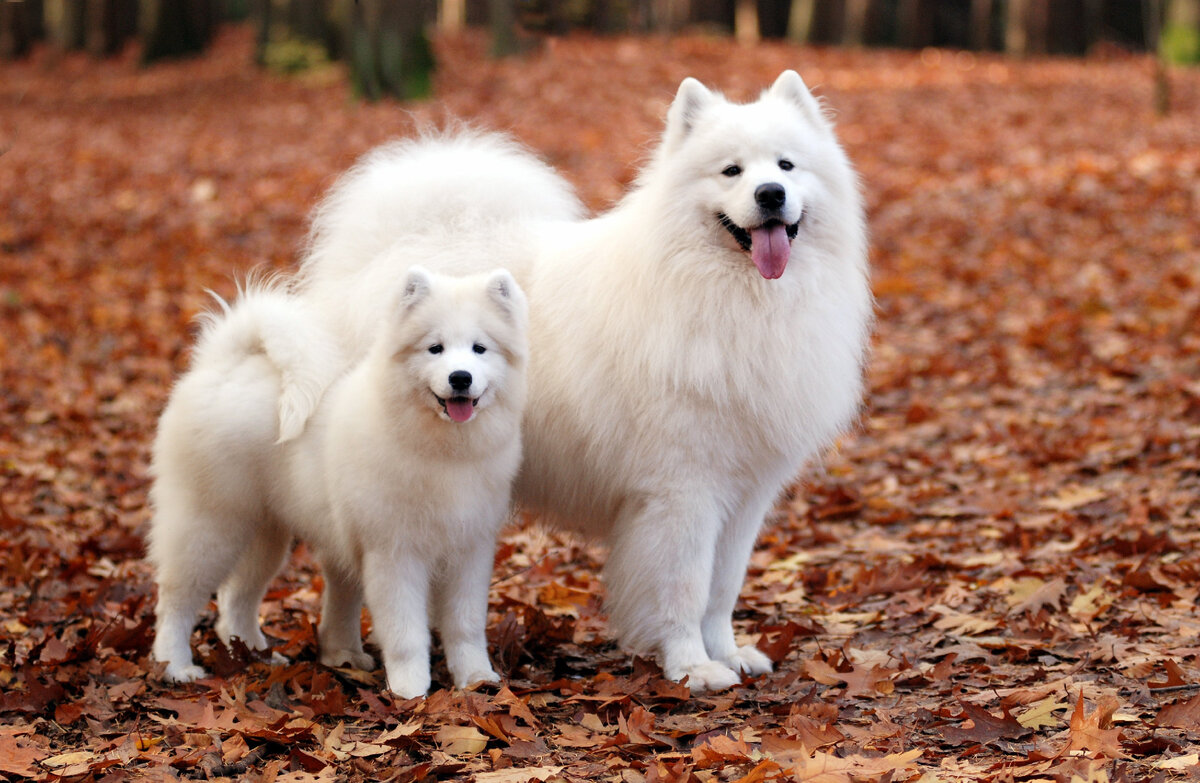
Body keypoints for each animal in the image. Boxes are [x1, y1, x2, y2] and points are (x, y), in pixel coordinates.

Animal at [147, 266, 528, 696]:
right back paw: (176, 666)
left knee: (237, 598)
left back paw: (255, 654)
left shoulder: (470, 551)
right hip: (209, 526)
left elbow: (466, 625)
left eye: (480, 349)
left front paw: (476, 678)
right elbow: (406, 633)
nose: (460, 377)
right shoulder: (395, 554)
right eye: (435, 349)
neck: (442, 451)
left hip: (264, 534)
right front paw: (411, 690)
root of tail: (223, 363)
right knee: (176, 600)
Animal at [295, 70, 868, 686]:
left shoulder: (744, 494)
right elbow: (685, 590)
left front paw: (729, 653)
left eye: (786, 166)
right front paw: (692, 666)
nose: (770, 195)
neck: (734, 296)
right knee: (343, 566)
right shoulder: (682, 490)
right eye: (732, 171)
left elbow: (722, 590)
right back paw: (344, 649)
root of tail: (386, 252)